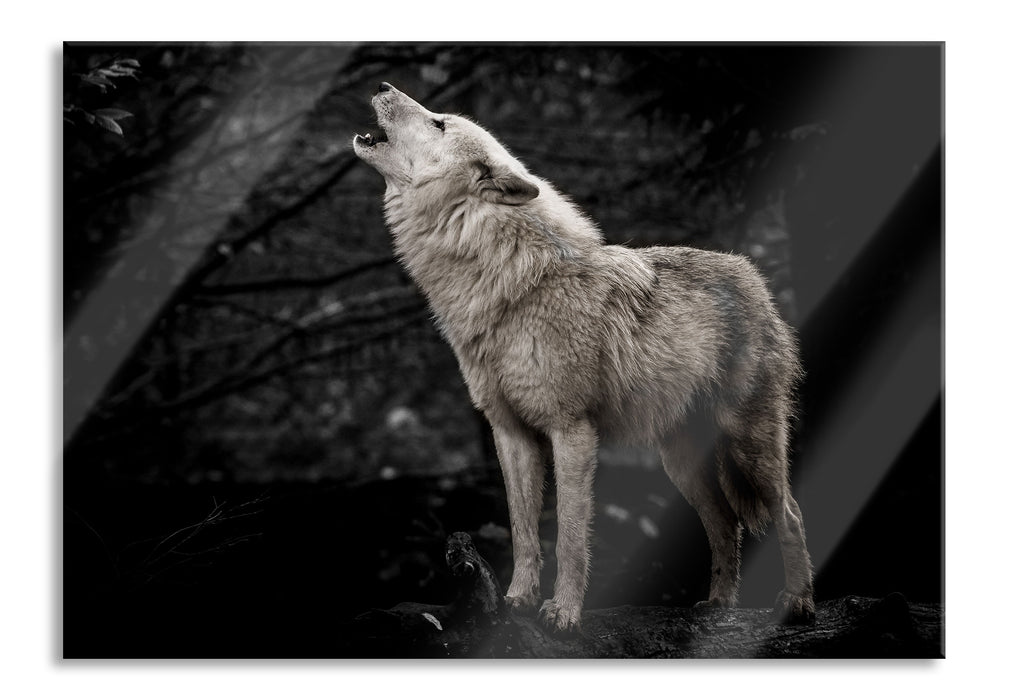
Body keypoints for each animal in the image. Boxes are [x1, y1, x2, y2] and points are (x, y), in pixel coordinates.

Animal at [353, 82, 814, 634]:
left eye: (439, 122)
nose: (383, 86)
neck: (508, 286)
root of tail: (752, 275)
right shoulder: (510, 433)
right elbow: (523, 531)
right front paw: (516, 601)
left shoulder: (571, 430)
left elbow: (570, 535)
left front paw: (564, 613)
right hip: (680, 463)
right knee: (726, 523)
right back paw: (719, 604)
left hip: (749, 446)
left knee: (790, 513)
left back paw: (798, 604)